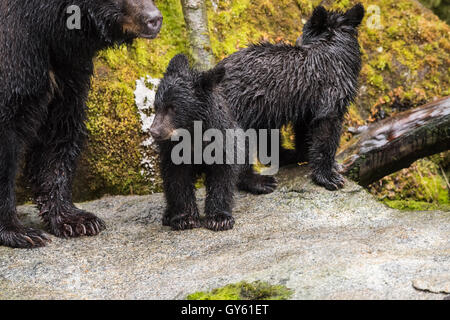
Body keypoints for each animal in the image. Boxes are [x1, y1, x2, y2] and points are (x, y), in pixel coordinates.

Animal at [0, 0, 162, 249]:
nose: (154, 19)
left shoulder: (67, 66)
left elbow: (59, 132)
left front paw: (76, 219)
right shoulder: (16, 50)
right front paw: (18, 231)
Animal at [215, 3, 366, 190]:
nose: (297, 40)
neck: (333, 49)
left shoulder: (306, 99)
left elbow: (305, 126)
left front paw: (308, 157)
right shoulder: (329, 90)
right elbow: (326, 126)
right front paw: (329, 176)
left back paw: (284, 156)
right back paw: (259, 181)